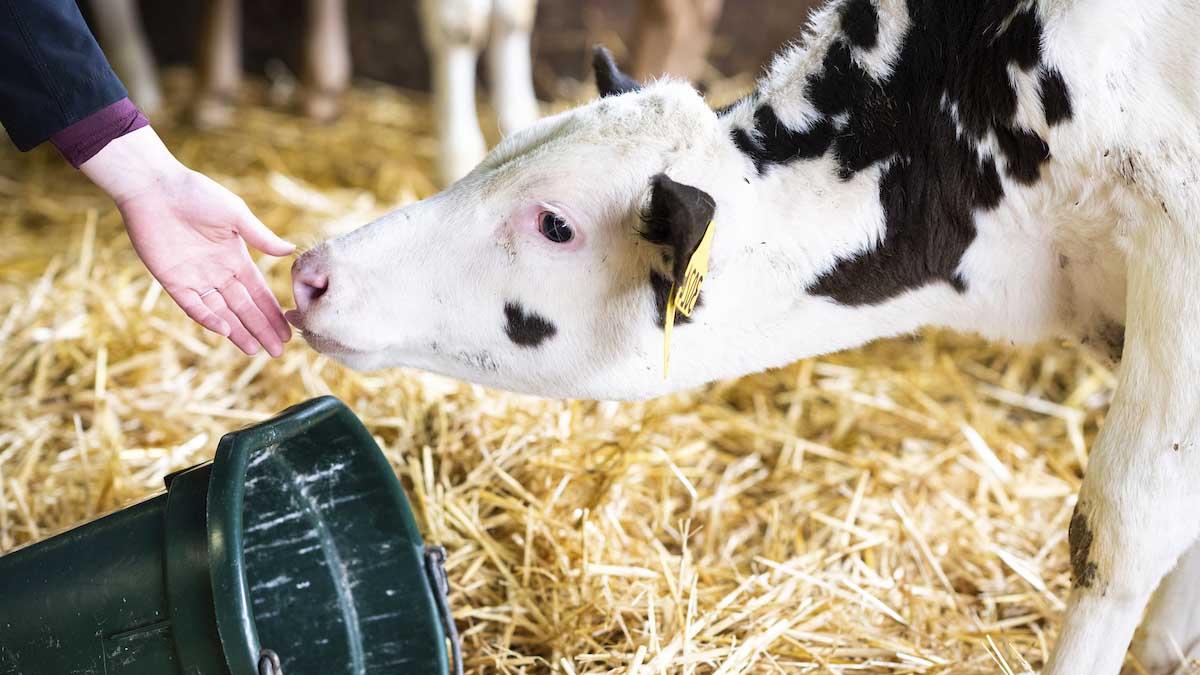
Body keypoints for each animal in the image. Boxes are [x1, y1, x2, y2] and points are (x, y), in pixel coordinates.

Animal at [292, 1, 1200, 672]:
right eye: (496, 152)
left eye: (555, 223)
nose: (312, 271)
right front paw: (1169, 644)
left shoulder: (1177, 252)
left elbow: (1116, 535)